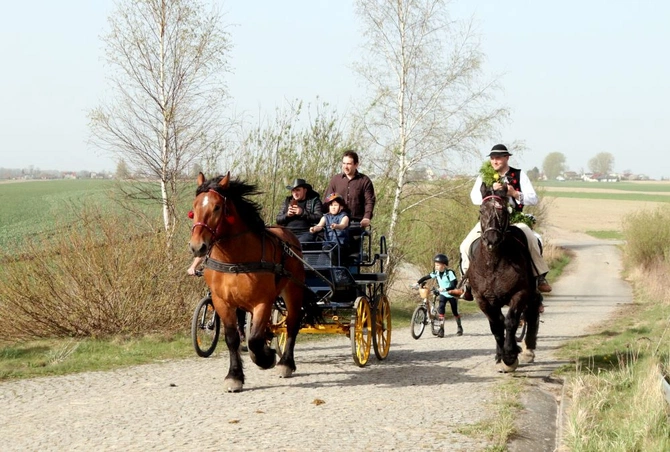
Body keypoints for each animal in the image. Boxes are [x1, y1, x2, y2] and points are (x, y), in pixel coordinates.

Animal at [189, 173, 310, 392]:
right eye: (194, 207)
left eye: (217, 207)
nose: (197, 247)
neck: (234, 259)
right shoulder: (222, 302)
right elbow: (233, 338)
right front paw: (234, 376)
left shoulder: (263, 302)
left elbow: (254, 339)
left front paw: (266, 357)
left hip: (293, 290)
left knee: (292, 324)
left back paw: (286, 363)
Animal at [470, 182, 544, 372]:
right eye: (482, 210)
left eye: (503, 210)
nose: (491, 240)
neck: (493, 264)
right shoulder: (483, 300)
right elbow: (496, 325)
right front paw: (501, 355)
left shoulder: (520, 294)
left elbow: (511, 322)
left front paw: (510, 356)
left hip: (531, 295)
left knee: (531, 315)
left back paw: (528, 351)